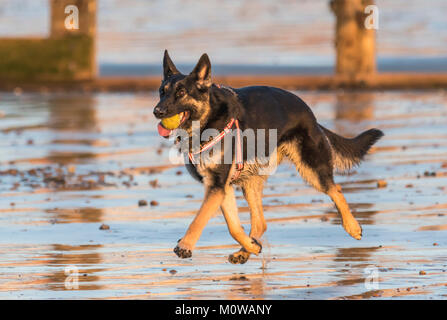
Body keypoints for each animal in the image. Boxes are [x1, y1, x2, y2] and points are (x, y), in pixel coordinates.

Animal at [154, 51, 384, 264]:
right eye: (161, 92)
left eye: (181, 92)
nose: (157, 111)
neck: (207, 119)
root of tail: (311, 115)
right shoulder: (220, 186)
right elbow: (233, 226)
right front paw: (252, 247)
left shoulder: (217, 186)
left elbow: (200, 218)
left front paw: (185, 245)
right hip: (250, 182)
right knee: (260, 223)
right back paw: (246, 249)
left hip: (311, 168)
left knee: (335, 189)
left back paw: (352, 226)